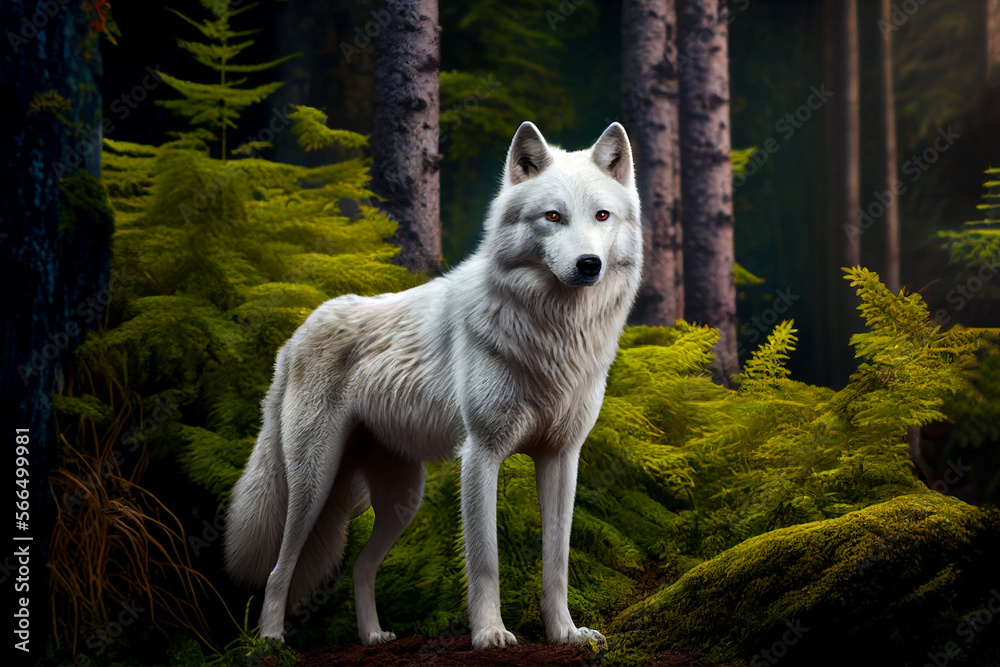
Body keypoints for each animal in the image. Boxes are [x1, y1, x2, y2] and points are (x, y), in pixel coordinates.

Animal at [223, 121, 643, 650]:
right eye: (553, 216)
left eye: (602, 215)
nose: (589, 264)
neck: (554, 336)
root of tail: (296, 334)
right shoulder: (481, 454)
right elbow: (485, 559)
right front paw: (490, 634)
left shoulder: (562, 459)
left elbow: (557, 561)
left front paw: (565, 632)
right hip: (313, 483)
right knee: (280, 568)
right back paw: (270, 642)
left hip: (403, 501)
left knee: (360, 567)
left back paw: (373, 636)